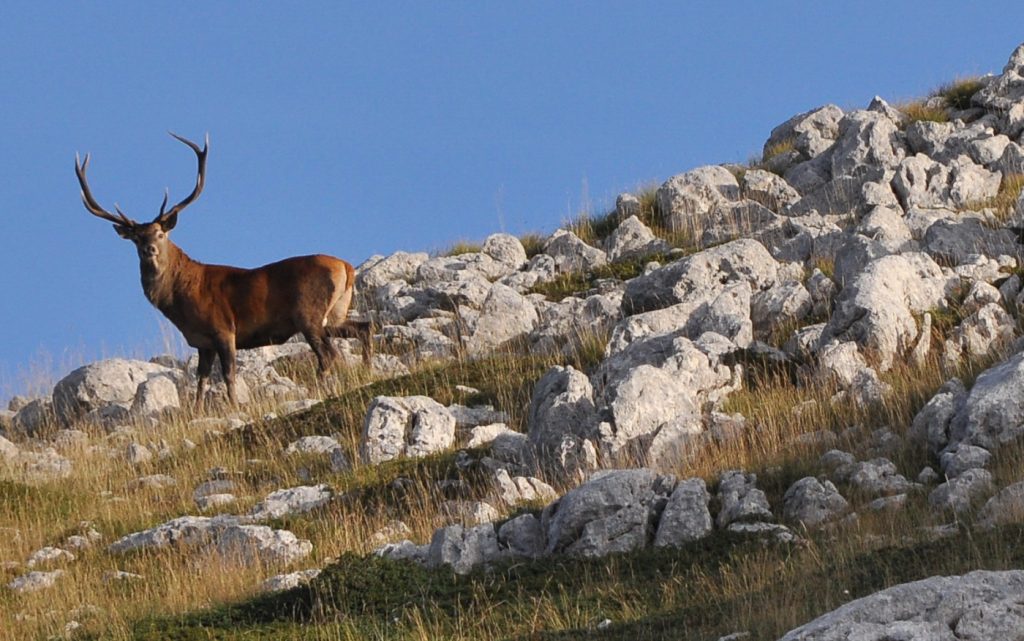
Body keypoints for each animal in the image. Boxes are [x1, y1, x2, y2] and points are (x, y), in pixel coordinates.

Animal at [75, 132, 372, 410]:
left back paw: (321, 388)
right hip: (334, 313)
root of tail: (345, 267)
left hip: (308, 313)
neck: (181, 300)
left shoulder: (223, 328)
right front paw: (197, 411)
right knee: (363, 328)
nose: (149, 249)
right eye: (136, 238)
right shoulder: (202, 342)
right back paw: (366, 369)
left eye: (160, 233)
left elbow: (229, 374)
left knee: (329, 354)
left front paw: (234, 405)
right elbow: (201, 379)